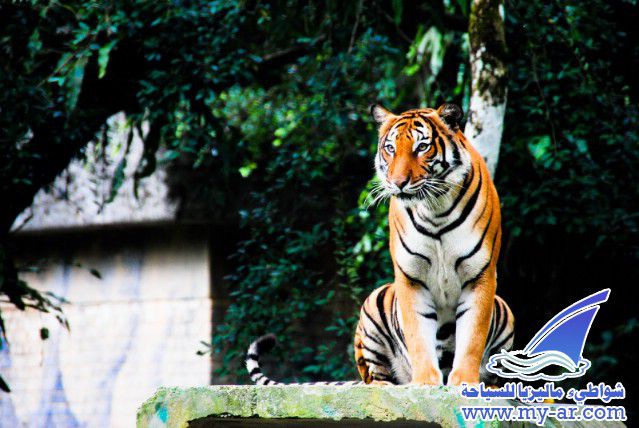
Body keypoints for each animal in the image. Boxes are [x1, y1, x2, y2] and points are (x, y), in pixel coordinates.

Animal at [245, 103, 516, 384]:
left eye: (422, 147)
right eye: (390, 148)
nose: (398, 183)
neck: (435, 210)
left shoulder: (480, 275)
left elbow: (472, 337)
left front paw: (463, 382)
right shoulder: (410, 277)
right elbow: (419, 337)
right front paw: (424, 383)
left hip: (504, 311)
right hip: (373, 307)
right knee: (376, 379)